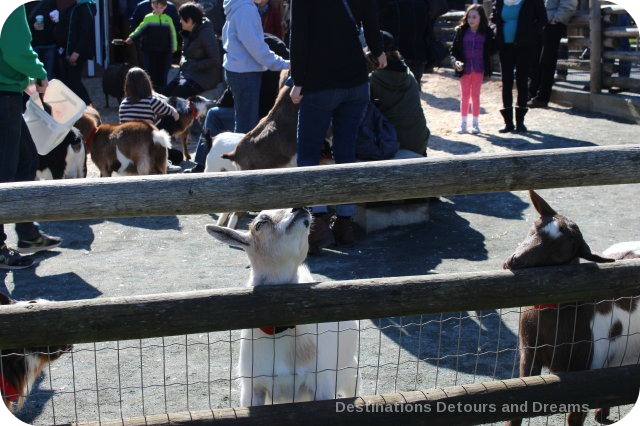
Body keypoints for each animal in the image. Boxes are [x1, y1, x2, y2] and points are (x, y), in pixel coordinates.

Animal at [504, 191, 640, 426]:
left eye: (559, 255)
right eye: (534, 227)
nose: (513, 261)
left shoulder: (584, 372)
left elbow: (574, 417)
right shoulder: (528, 352)